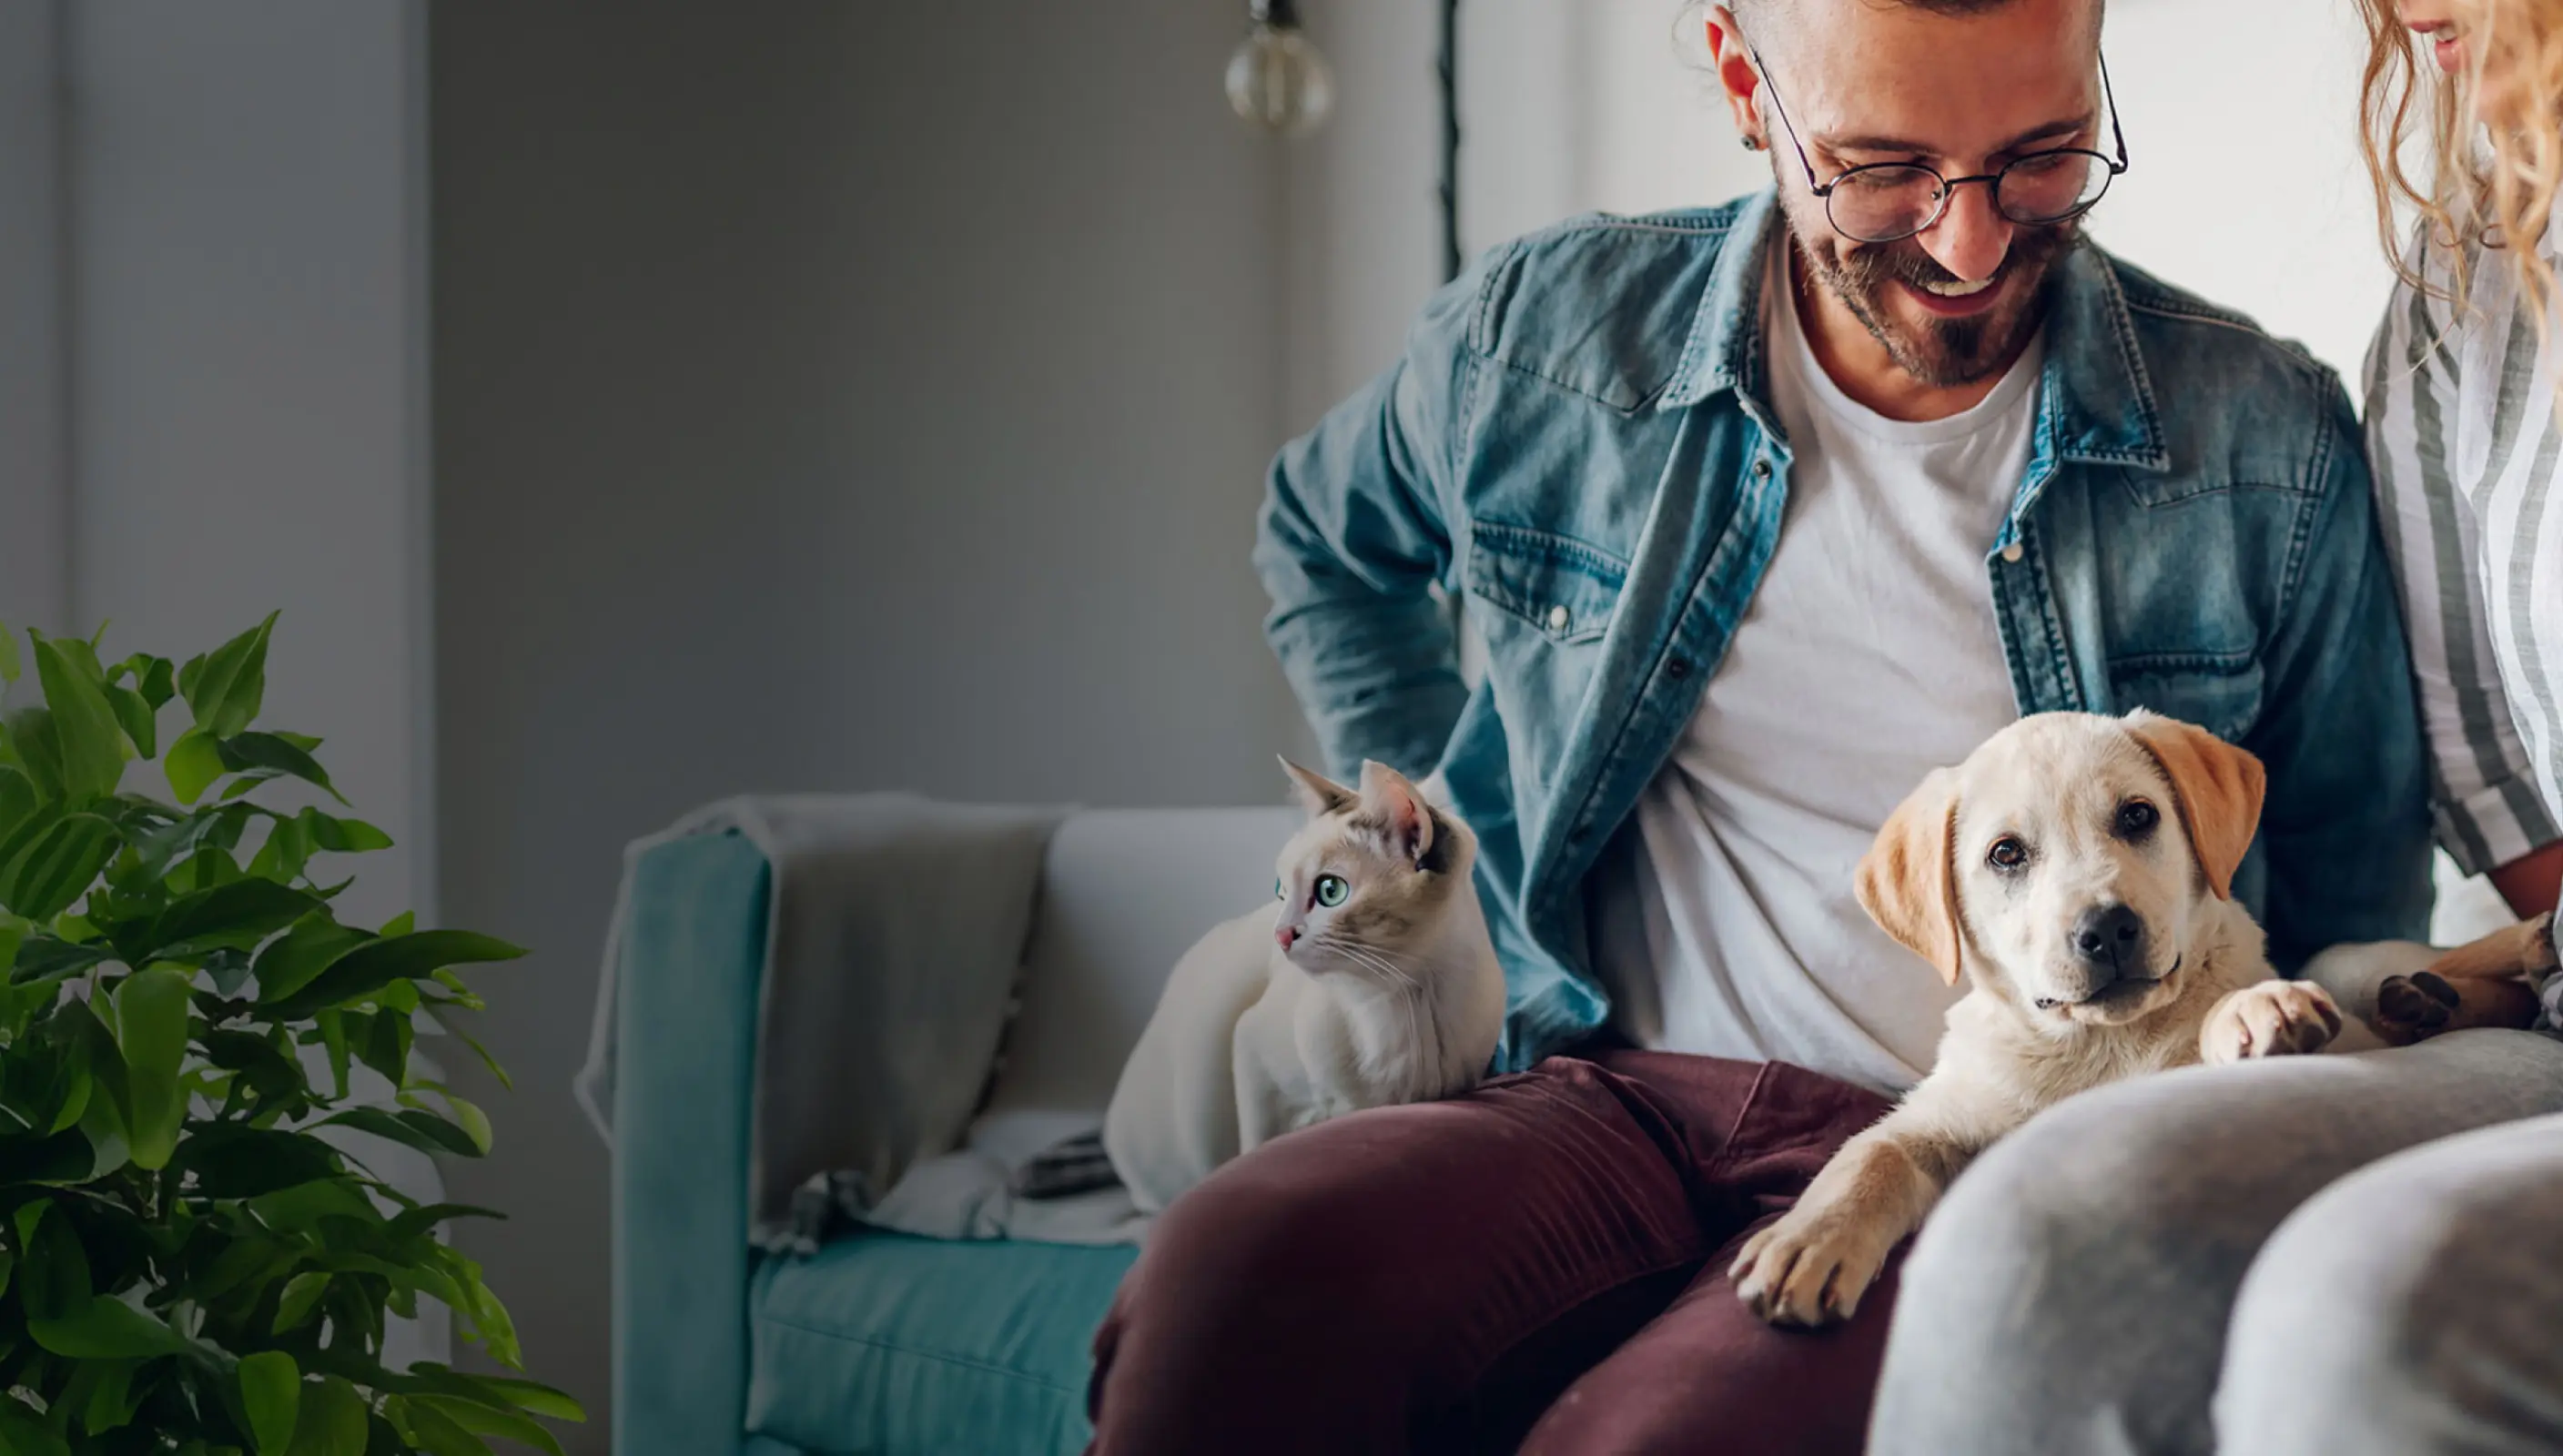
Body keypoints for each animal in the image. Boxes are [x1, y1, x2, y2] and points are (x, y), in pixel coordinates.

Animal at [1097, 758, 1496, 1209]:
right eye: (1280, 890)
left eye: (1330, 891)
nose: (1281, 935)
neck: (1411, 1000)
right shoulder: (1253, 1056)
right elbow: (1258, 1148)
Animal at [1722, 713, 2398, 1322]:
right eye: (2006, 854)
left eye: (2138, 816)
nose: (2107, 929)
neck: (2100, 1045)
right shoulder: (1942, 1114)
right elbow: (1869, 1154)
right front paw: (1810, 1239)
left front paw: (2255, 1011)